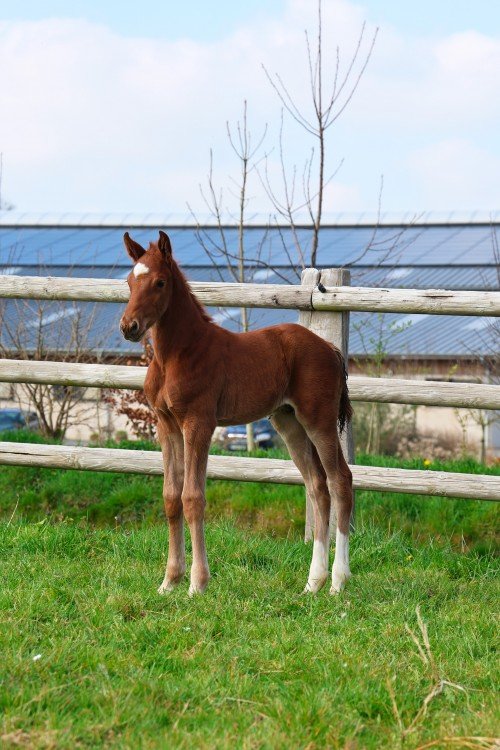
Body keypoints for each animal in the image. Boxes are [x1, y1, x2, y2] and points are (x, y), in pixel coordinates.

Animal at [120, 231, 353, 596]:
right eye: (130, 281)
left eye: (159, 282)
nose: (128, 326)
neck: (178, 355)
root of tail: (329, 347)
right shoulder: (166, 425)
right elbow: (171, 497)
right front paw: (169, 581)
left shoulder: (199, 423)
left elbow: (192, 497)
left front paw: (197, 584)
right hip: (289, 423)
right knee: (317, 486)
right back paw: (313, 582)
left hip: (319, 420)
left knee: (340, 480)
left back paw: (338, 582)